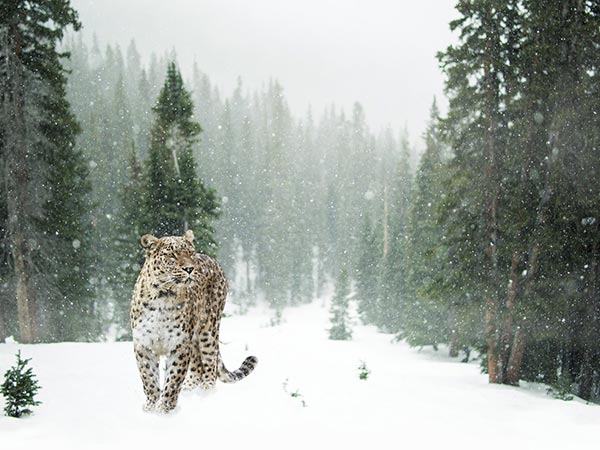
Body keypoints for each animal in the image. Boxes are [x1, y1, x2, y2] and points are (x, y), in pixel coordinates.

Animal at [131, 230, 258, 414]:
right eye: (172, 255)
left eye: (190, 253)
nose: (190, 269)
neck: (163, 296)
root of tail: (212, 260)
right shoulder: (144, 345)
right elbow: (149, 379)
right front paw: (150, 407)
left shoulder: (179, 345)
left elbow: (173, 379)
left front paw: (164, 410)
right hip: (195, 339)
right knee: (197, 367)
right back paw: (189, 390)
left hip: (208, 330)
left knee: (210, 365)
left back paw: (206, 395)